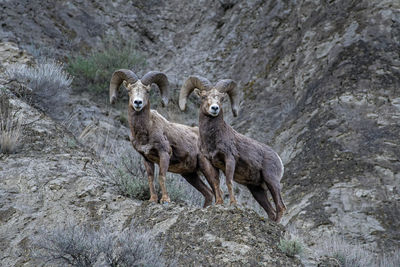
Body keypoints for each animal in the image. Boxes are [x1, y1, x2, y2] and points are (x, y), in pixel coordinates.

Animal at [108, 69, 223, 207]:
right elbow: (150, 178)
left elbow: (161, 176)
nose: (138, 102)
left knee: (217, 188)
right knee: (208, 193)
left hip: (205, 167)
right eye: (130, 90)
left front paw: (165, 200)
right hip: (190, 175)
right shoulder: (146, 159)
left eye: (147, 91)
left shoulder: (164, 153)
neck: (147, 129)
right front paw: (152, 199)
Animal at [180, 76, 286, 223]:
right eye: (204, 96)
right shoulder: (209, 162)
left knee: (280, 207)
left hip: (271, 181)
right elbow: (215, 183)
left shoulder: (229, 159)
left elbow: (228, 181)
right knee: (270, 211)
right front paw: (219, 203)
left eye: (221, 98)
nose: (215, 108)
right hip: (256, 189)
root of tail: (278, 158)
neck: (212, 140)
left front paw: (233, 203)